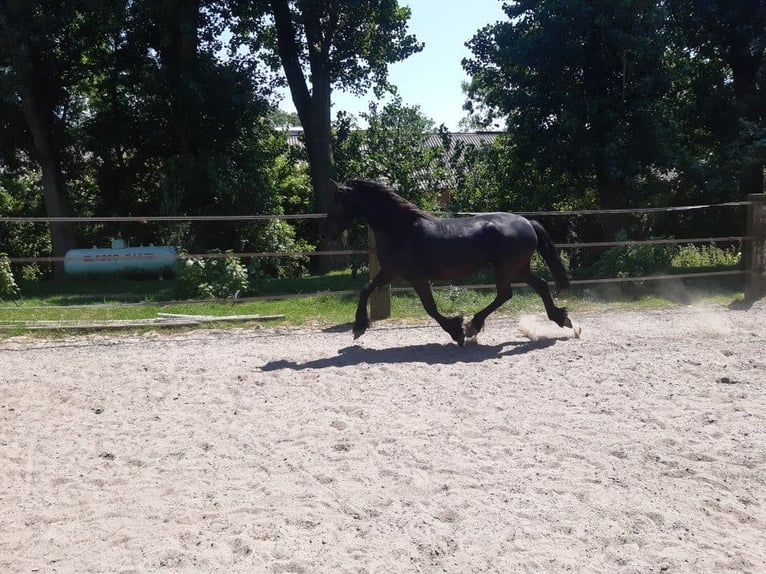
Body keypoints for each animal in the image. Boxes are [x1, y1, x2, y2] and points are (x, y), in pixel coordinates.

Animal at [324, 180, 584, 344]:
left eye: (337, 201)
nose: (327, 234)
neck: (402, 229)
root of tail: (528, 222)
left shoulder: (417, 278)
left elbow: (430, 308)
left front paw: (456, 331)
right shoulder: (390, 272)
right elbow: (365, 289)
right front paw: (359, 327)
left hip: (507, 268)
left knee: (505, 294)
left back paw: (473, 326)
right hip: (519, 268)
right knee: (539, 286)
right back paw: (563, 319)